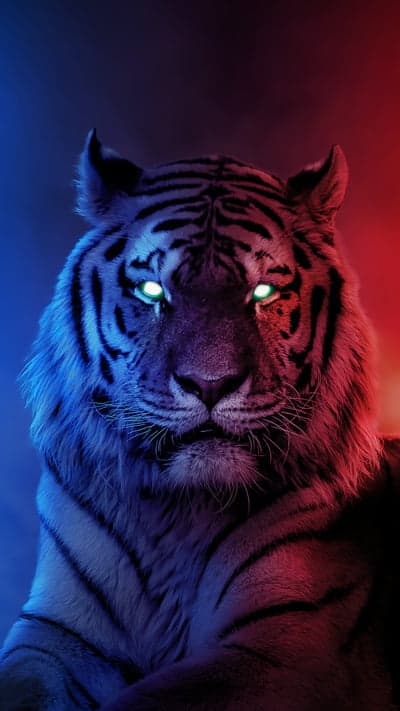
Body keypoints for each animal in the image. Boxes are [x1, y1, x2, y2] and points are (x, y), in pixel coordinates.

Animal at [0, 129, 399, 711]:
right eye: (152, 290)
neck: (176, 512)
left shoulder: (284, 645)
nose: (209, 384)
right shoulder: (57, 635)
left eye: (263, 293)